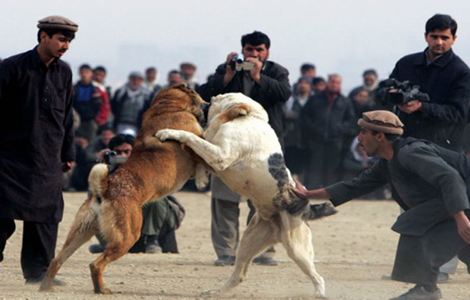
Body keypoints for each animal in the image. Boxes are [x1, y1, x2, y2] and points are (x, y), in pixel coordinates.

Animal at [39, 84, 208, 292]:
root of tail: (104, 189)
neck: (167, 107)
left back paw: (45, 288)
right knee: (96, 264)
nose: (208, 105)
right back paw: (102, 290)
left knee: (56, 260)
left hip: (81, 232)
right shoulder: (198, 141)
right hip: (127, 236)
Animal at [156, 93, 324, 298]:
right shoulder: (216, 159)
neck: (247, 118)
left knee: (318, 277)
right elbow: (200, 156)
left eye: (215, 100)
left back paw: (319, 293)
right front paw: (201, 179)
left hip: (297, 249)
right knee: (239, 275)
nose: (205, 103)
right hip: (247, 243)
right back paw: (215, 292)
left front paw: (167, 132)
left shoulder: (220, 156)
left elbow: (191, 137)